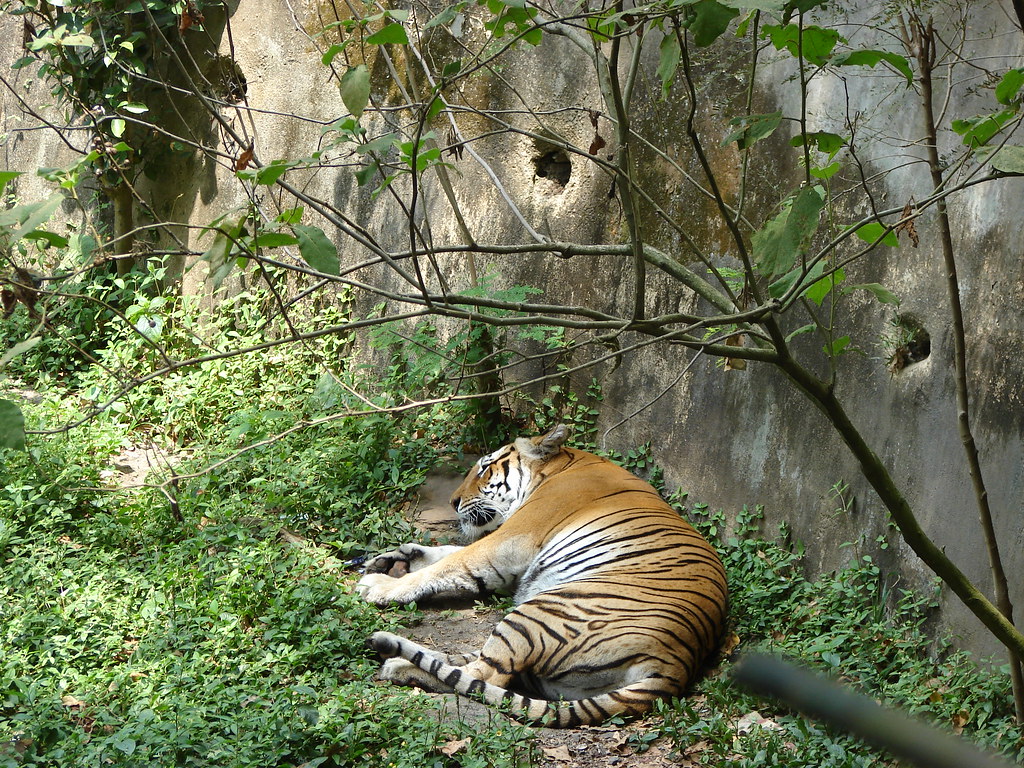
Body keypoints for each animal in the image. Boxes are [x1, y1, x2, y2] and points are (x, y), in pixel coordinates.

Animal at [355, 424, 728, 728]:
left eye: (485, 468)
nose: (453, 501)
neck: (557, 469)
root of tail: (675, 668)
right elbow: (443, 553)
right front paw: (395, 558)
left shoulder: (510, 539)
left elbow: (453, 561)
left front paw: (381, 585)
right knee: (473, 666)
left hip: (541, 611)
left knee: (484, 675)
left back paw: (396, 666)